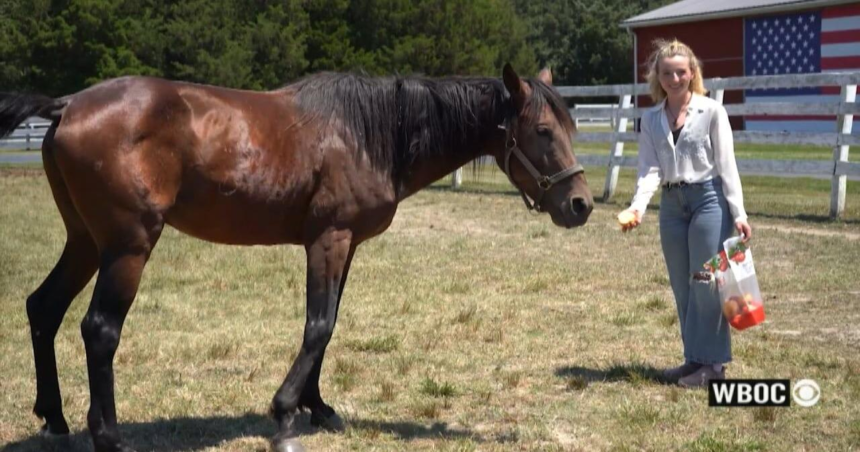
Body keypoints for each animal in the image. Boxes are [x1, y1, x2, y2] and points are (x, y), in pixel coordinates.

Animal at [0, 63, 593, 452]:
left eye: (571, 127)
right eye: (543, 131)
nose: (580, 205)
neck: (368, 133)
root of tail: (68, 105)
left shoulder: (345, 244)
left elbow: (328, 327)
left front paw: (319, 407)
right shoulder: (329, 238)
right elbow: (318, 324)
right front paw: (286, 412)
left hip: (85, 241)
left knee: (43, 308)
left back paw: (55, 420)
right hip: (128, 246)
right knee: (99, 330)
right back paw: (109, 436)